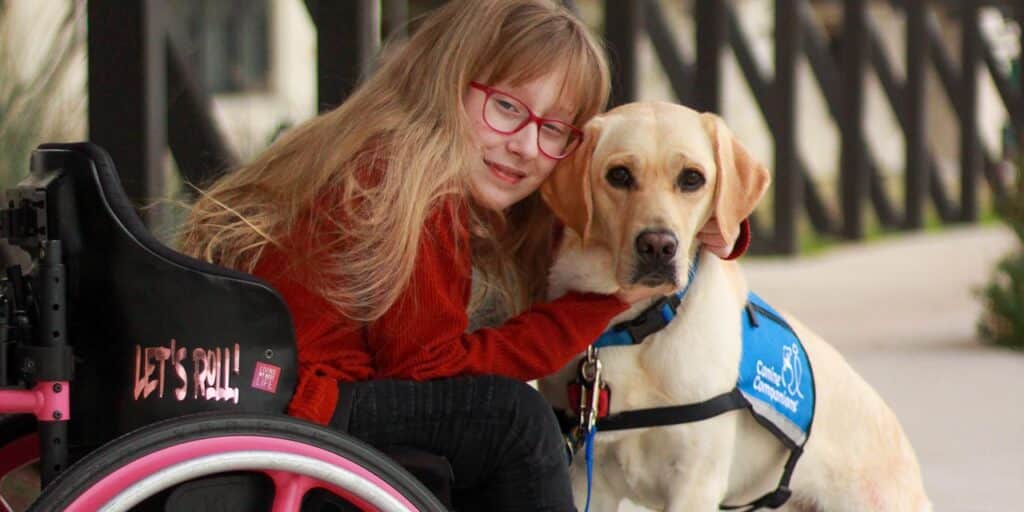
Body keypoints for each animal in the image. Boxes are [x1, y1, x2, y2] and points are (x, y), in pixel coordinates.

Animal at [540, 102, 933, 512]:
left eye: (691, 179)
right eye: (618, 175)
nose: (658, 246)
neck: (638, 327)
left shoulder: (695, 482)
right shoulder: (589, 478)